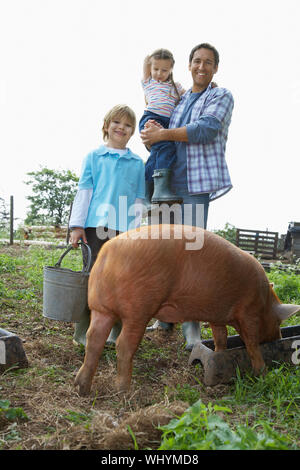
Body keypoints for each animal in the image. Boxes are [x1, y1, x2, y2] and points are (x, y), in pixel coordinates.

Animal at [74, 225, 300, 396]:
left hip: (100, 308)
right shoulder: (248, 313)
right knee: (123, 345)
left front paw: (219, 354)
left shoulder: (217, 315)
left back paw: (81, 387)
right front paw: (262, 373)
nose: (279, 337)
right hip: (138, 308)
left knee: (94, 339)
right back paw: (124, 391)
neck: (264, 301)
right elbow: (251, 343)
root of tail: (108, 252)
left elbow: (221, 337)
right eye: (279, 321)